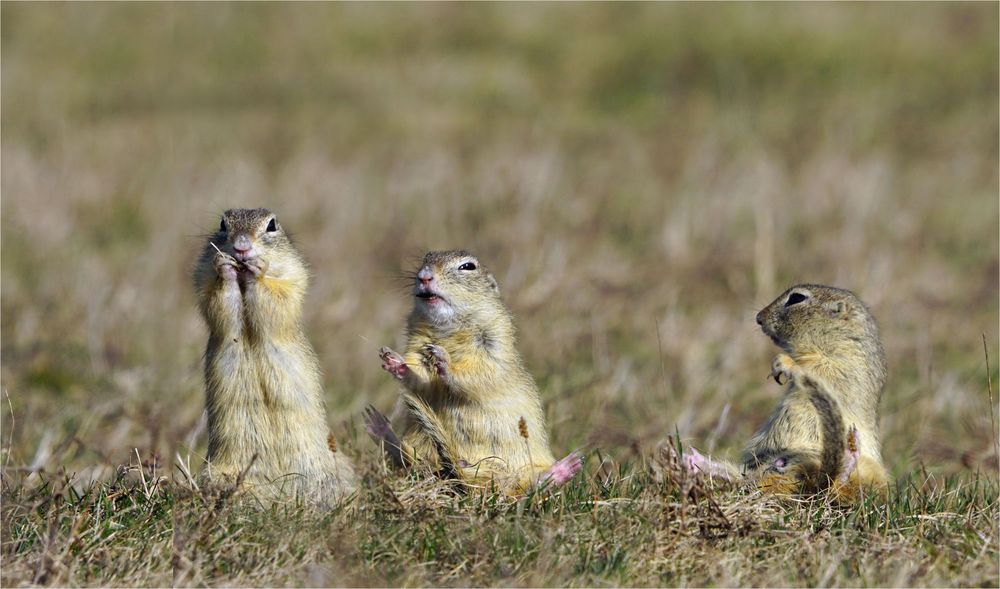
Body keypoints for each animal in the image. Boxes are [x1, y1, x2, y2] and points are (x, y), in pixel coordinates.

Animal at [192, 209, 356, 504]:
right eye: (222, 224)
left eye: (271, 225)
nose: (241, 247)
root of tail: (284, 492)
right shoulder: (203, 277)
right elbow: (215, 300)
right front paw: (225, 266)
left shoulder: (292, 277)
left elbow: (279, 296)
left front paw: (258, 269)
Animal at [364, 250, 584, 494]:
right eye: (425, 259)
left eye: (468, 266)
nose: (424, 276)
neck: (449, 326)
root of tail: (468, 478)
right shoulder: (416, 340)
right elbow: (419, 374)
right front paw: (395, 362)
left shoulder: (495, 340)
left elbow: (483, 372)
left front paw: (444, 361)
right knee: (408, 460)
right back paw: (380, 429)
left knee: (530, 488)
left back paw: (562, 470)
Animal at [688, 284, 892, 500]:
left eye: (796, 298)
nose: (758, 318)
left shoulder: (845, 364)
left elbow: (819, 368)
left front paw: (783, 363)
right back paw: (697, 462)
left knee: (844, 482)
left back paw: (849, 457)